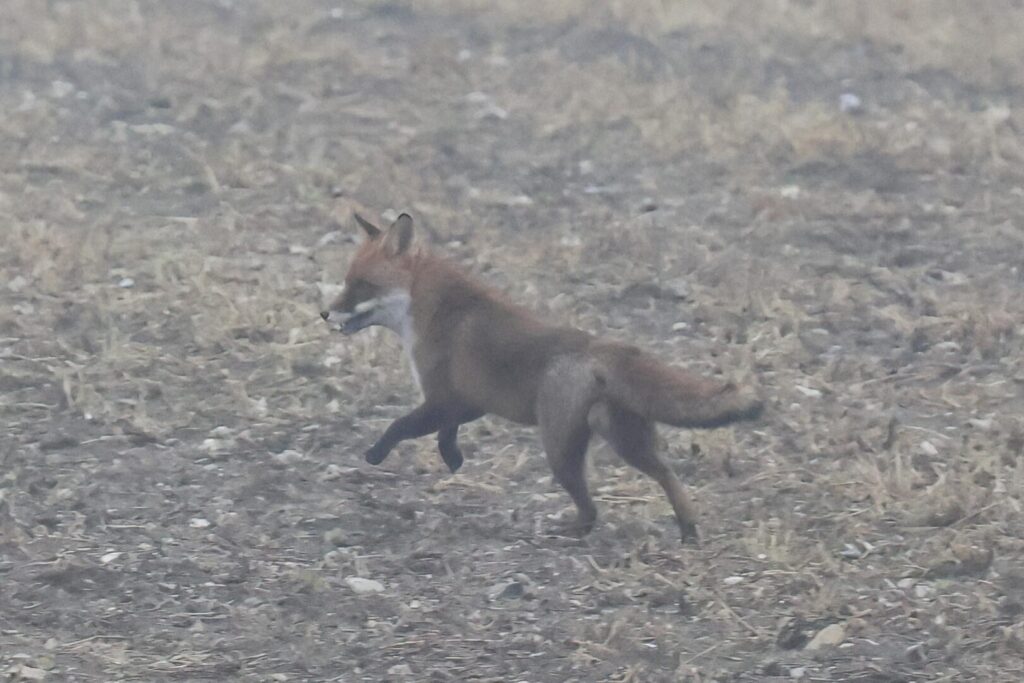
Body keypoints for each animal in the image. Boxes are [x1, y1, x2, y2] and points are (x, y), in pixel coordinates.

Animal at [321, 212, 763, 542]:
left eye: (362, 285)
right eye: (346, 281)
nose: (324, 313)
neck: (432, 309)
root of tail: (601, 346)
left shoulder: (443, 396)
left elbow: (401, 426)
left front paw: (376, 454)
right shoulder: (471, 400)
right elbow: (446, 433)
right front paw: (453, 458)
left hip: (561, 453)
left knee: (592, 510)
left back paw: (564, 532)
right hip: (626, 440)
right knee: (667, 475)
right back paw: (688, 528)